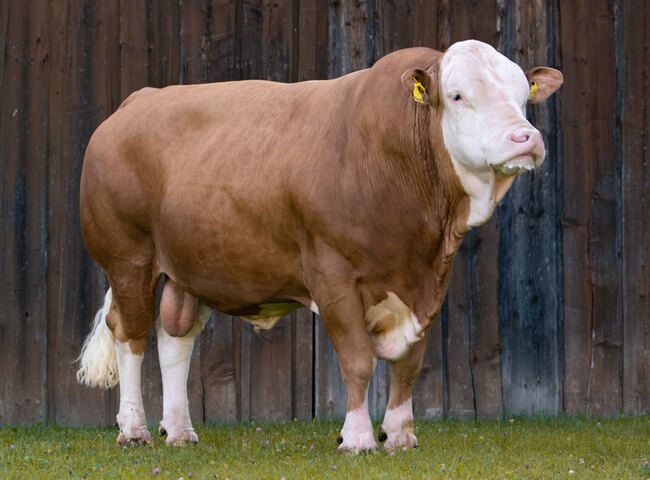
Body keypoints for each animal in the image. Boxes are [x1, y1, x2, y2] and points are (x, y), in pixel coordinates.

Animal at [76, 39, 562, 453]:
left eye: (523, 94)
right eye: (458, 95)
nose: (526, 138)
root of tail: (138, 100)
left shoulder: (429, 281)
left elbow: (409, 363)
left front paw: (400, 435)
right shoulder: (333, 276)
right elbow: (358, 359)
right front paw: (358, 438)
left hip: (188, 266)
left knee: (175, 336)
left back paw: (178, 430)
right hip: (129, 257)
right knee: (131, 335)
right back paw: (134, 429)